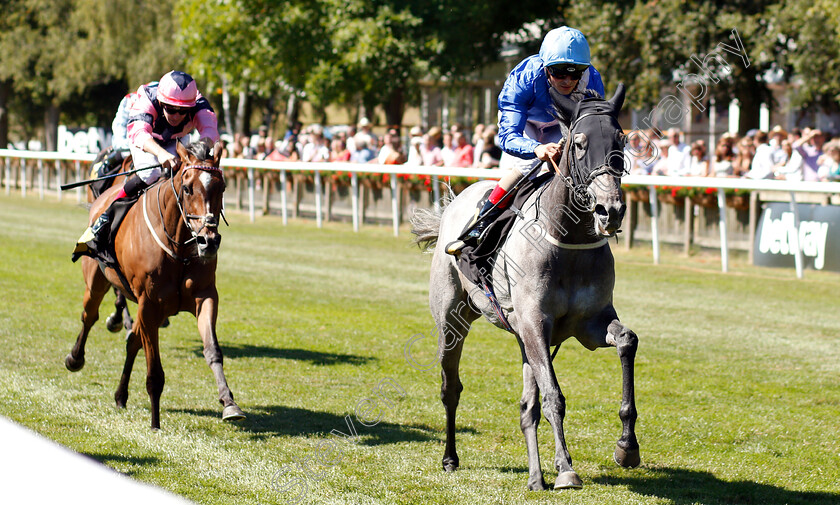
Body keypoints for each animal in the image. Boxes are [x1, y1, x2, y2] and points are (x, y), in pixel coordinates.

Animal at [65, 139, 243, 430]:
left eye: (222, 188)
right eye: (187, 187)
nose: (208, 241)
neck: (178, 247)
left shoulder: (204, 296)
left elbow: (213, 350)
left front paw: (229, 403)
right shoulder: (149, 304)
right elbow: (154, 371)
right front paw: (155, 423)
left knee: (132, 341)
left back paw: (121, 395)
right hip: (96, 281)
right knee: (89, 316)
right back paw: (75, 357)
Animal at [410, 84, 640, 490]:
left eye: (621, 140)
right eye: (579, 143)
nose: (609, 210)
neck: (567, 241)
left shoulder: (588, 324)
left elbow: (627, 340)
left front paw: (627, 446)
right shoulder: (535, 322)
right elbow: (553, 396)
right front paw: (565, 468)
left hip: (524, 338)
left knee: (526, 406)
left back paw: (535, 476)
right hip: (452, 321)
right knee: (450, 388)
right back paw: (451, 457)